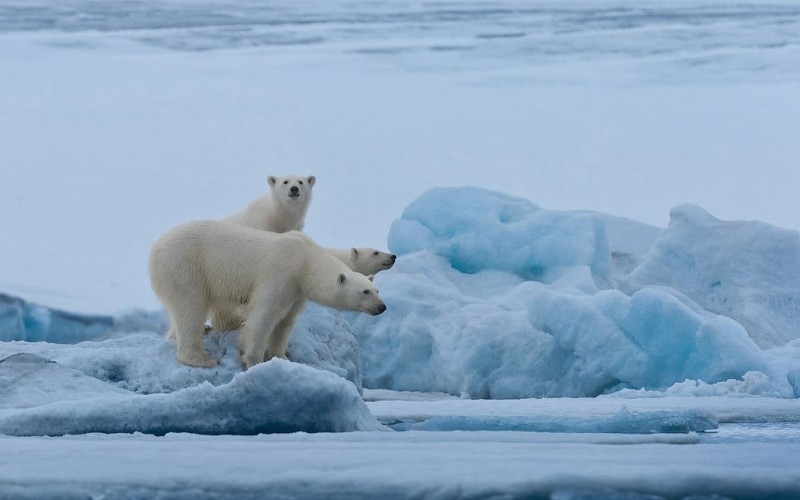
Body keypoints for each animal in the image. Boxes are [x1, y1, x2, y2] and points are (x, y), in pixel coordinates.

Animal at [152, 221, 388, 370]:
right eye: (365, 292)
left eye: (377, 290)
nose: (382, 307)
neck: (305, 260)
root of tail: (156, 248)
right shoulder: (280, 274)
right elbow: (263, 317)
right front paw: (254, 361)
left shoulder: (296, 290)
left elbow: (285, 322)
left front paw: (282, 357)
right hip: (186, 266)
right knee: (190, 308)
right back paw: (202, 359)